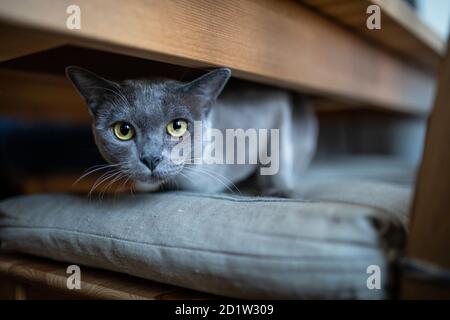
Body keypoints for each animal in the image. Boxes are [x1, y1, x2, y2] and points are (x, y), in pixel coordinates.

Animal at [67, 67, 316, 195]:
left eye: (177, 126)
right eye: (123, 130)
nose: (151, 158)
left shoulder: (276, 102)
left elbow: (280, 153)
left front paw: (281, 190)